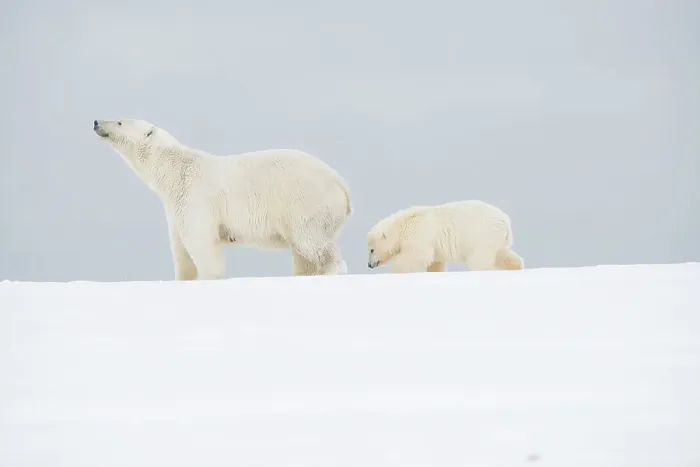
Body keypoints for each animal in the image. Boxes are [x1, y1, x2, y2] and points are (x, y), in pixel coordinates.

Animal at [93, 118, 352, 279]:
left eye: (120, 121)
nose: (96, 122)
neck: (175, 170)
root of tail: (342, 185)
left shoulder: (196, 197)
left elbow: (201, 243)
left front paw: (212, 277)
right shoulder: (175, 208)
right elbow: (180, 250)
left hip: (305, 203)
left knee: (312, 242)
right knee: (303, 251)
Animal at [366, 200, 524, 273]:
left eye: (371, 249)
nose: (369, 264)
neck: (402, 226)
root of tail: (505, 222)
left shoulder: (418, 235)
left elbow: (417, 255)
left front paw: (396, 272)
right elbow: (435, 262)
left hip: (481, 235)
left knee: (480, 261)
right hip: (496, 239)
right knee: (503, 255)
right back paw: (517, 267)